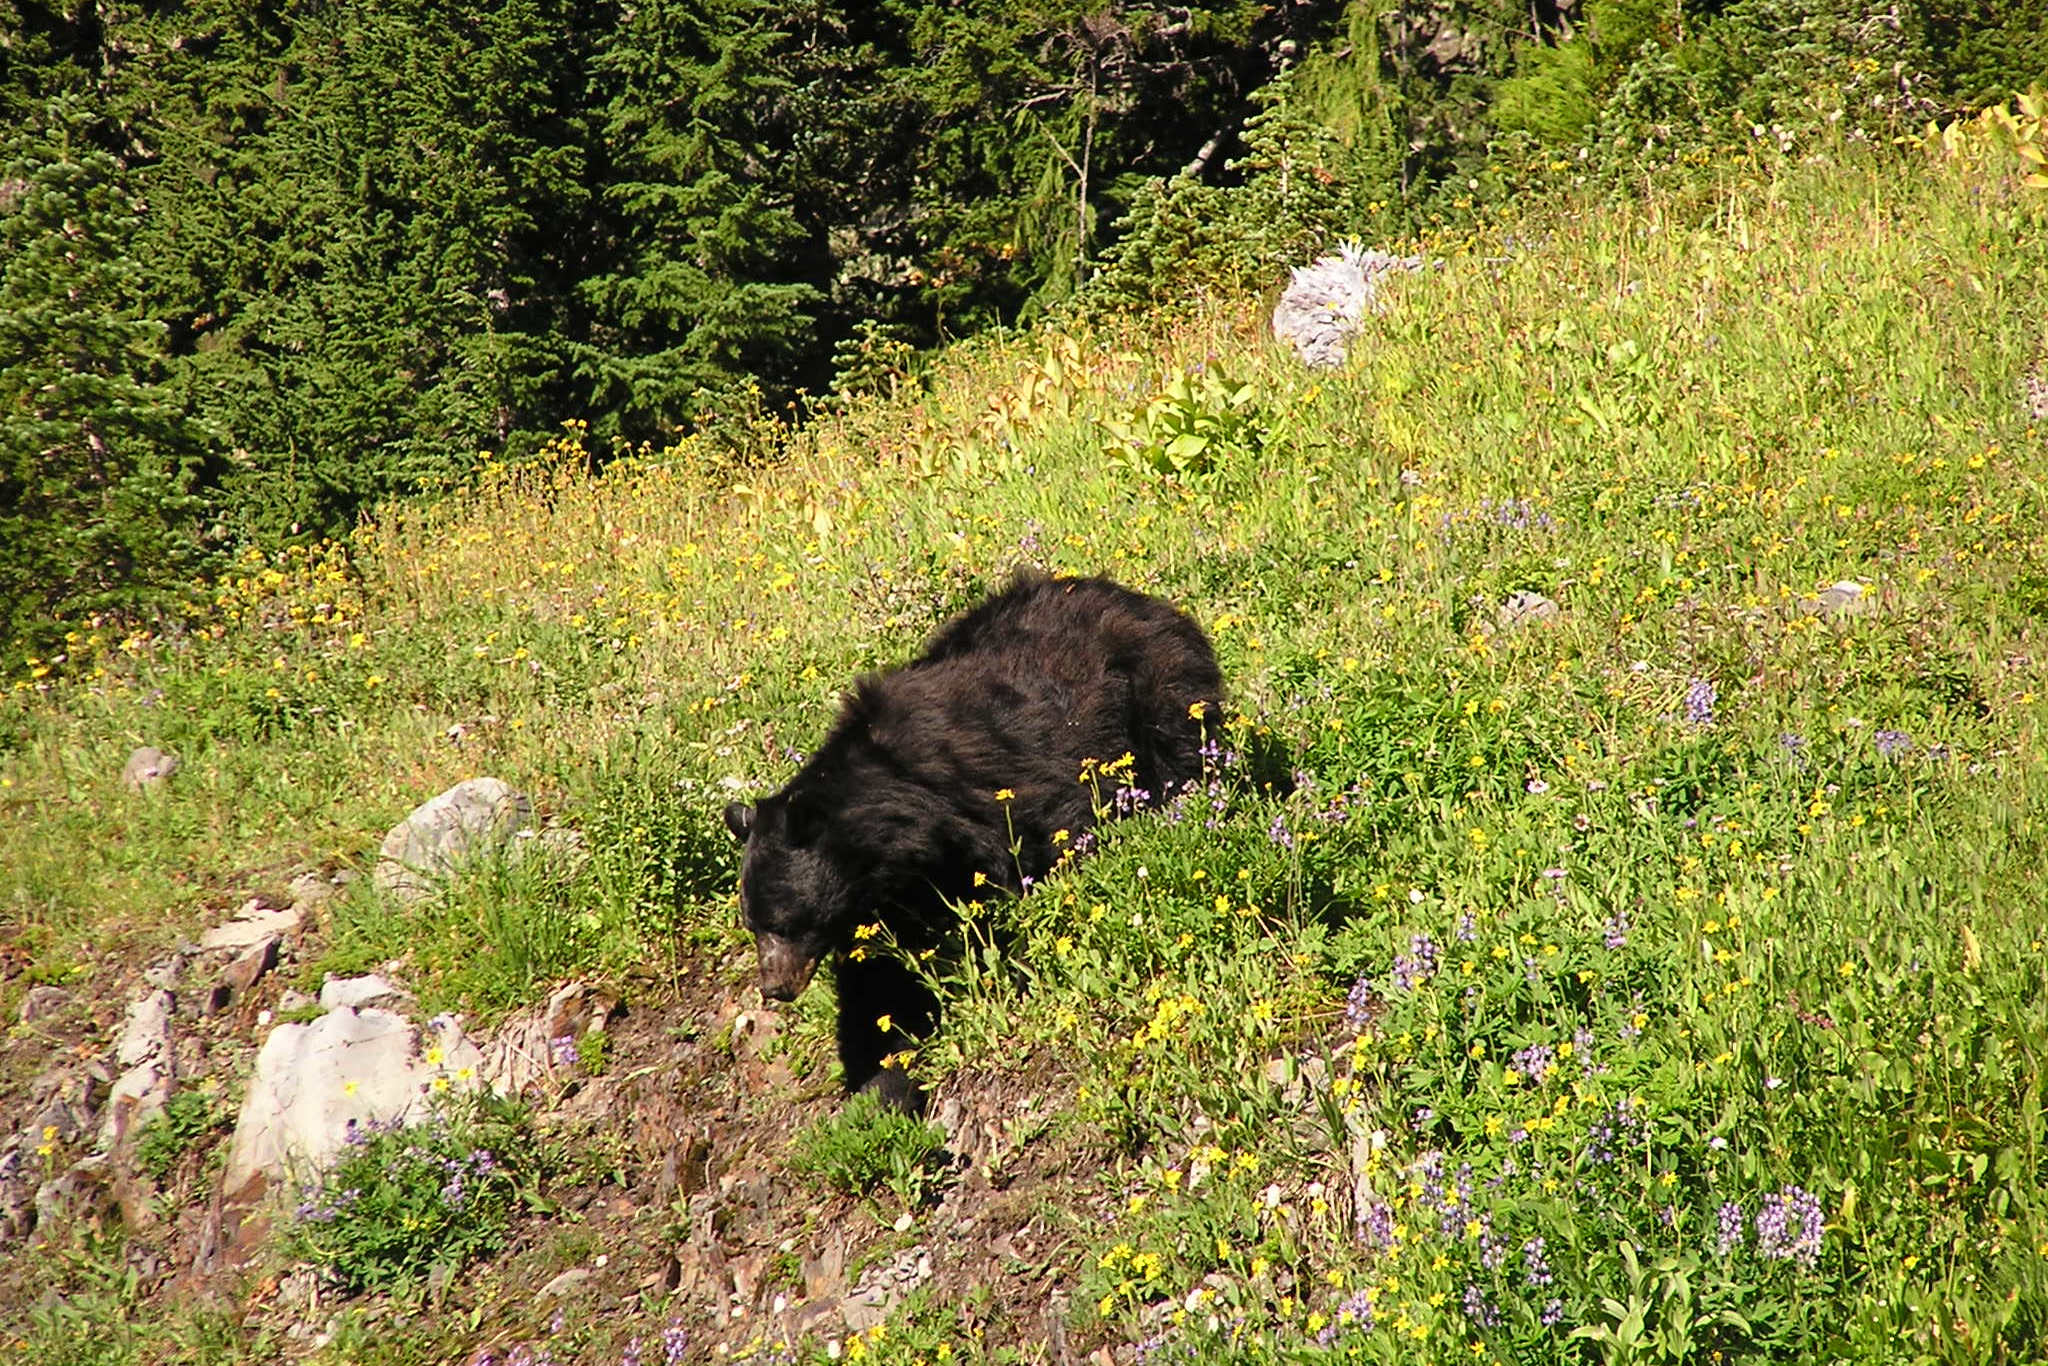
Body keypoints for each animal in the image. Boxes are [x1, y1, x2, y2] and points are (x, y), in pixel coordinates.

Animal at [723, 572, 1222, 1110]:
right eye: (753, 924)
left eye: (786, 922)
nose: (775, 987)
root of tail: (1138, 597)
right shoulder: (886, 899)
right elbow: (882, 985)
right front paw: (881, 1088)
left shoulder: (1010, 793)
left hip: (1159, 688)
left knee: (1179, 750)